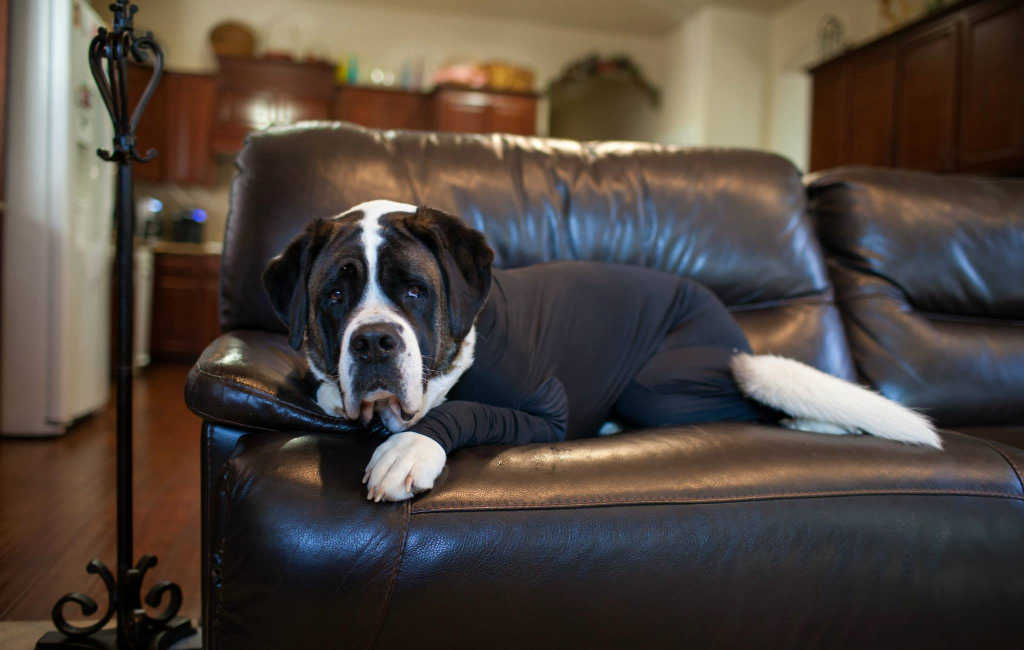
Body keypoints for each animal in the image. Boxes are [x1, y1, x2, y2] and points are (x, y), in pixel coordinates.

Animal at [264, 198, 942, 503]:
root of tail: (734, 336)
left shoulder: (544, 413)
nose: (374, 340)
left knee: (755, 408)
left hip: (660, 386)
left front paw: (410, 447)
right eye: (334, 296)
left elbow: (462, 411)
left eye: (413, 290)